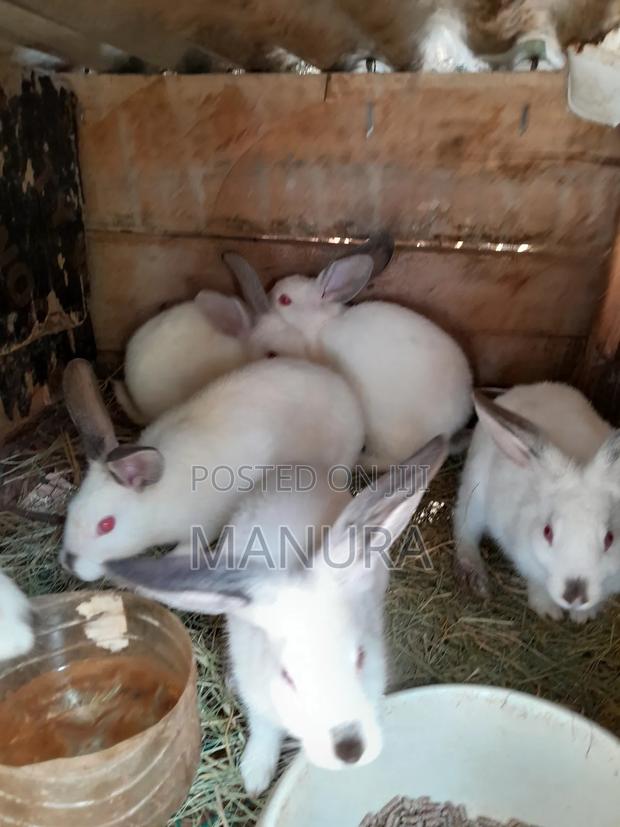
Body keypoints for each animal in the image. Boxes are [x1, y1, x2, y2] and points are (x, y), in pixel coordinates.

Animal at [61, 355, 364, 583]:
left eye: (106, 525)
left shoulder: (202, 529)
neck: (158, 502)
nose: (70, 563)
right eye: (71, 508)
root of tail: (347, 392)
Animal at [106, 435, 448, 795]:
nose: (350, 750)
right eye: (287, 676)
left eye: (360, 656)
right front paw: (255, 776)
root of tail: (297, 470)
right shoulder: (259, 701)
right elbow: (264, 731)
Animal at [454, 383, 620, 623]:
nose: (575, 596)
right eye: (547, 532)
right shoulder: (526, 559)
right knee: (464, 528)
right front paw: (548, 612)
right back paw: (474, 575)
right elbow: (537, 584)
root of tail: (526, 387)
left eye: (609, 538)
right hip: (473, 492)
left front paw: (584, 616)